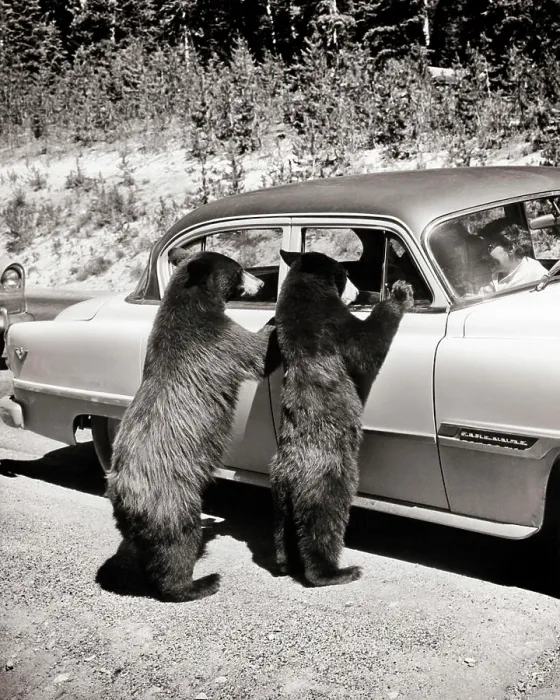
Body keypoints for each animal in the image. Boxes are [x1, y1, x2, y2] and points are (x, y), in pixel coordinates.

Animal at [105, 250, 278, 602]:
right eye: (239, 270)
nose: (262, 283)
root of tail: (122, 494)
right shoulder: (218, 339)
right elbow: (256, 353)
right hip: (173, 499)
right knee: (178, 543)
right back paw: (199, 583)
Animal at [269, 249, 413, 587]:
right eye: (345, 272)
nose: (358, 291)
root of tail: (290, 477)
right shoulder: (331, 324)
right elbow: (365, 346)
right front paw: (400, 292)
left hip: (278, 496)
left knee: (283, 531)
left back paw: (284, 564)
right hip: (328, 483)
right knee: (323, 525)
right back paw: (337, 571)